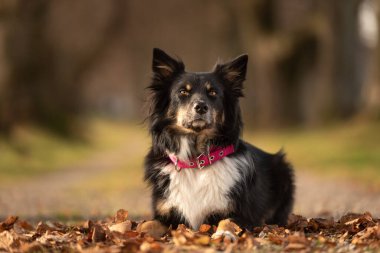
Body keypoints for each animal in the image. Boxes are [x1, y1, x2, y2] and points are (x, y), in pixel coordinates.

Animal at [144, 48, 296, 238]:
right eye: (183, 92)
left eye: (213, 93)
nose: (201, 107)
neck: (197, 159)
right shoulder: (165, 213)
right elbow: (147, 224)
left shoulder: (240, 213)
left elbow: (228, 221)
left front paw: (223, 234)